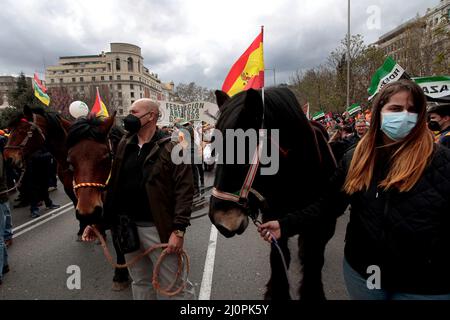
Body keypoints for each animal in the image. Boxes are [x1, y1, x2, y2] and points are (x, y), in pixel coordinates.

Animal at [209, 87, 336, 300]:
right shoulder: (274, 223)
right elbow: (278, 259)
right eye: (214, 149)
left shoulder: (323, 224)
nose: (221, 221)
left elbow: (314, 259)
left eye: (242, 149)